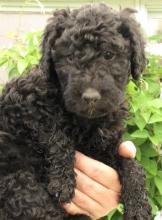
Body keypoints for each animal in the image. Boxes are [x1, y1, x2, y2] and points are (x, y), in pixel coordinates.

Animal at [0, 3, 151, 220]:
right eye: (70, 57)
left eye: (108, 55)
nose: (90, 97)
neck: (85, 121)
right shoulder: (20, 107)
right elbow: (54, 133)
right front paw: (62, 180)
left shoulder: (104, 147)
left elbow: (132, 165)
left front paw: (138, 205)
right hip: (19, 183)